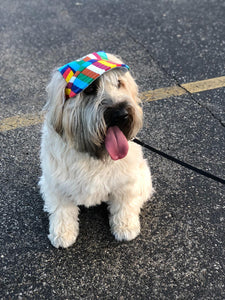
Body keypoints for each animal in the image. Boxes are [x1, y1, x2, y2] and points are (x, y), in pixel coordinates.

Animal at [39, 52, 154, 248]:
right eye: (91, 89)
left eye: (119, 83)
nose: (121, 114)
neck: (95, 154)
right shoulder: (55, 185)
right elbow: (62, 211)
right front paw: (63, 233)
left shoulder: (127, 181)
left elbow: (124, 204)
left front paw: (125, 227)